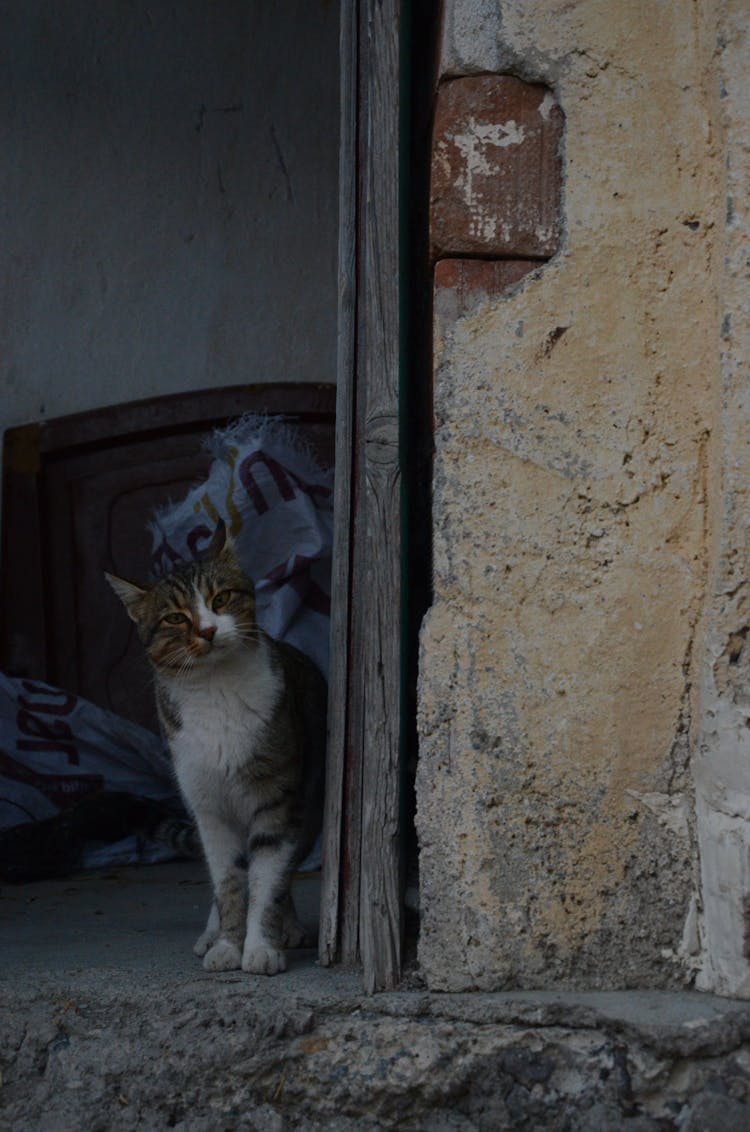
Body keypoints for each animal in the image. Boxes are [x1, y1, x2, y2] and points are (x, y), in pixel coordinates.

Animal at [105, 520, 325, 973]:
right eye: (175, 617)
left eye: (219, 598)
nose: (207, 630)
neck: (215, 688)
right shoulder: (208, 807)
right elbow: (228, 883)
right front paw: (227, 943)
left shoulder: (277, 799)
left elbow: (268, 879)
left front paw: (261, 946)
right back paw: (210, 932)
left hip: (310, 803)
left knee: (286, 865)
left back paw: (290, 927)